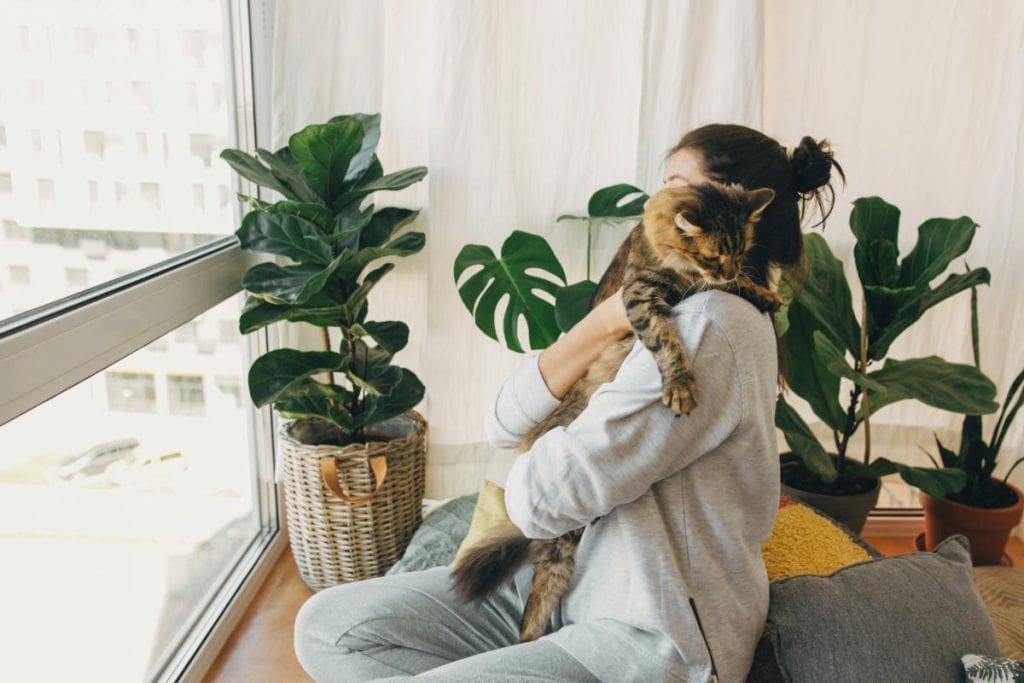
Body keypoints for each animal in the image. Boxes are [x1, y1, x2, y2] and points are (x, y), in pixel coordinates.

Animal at [452, 180, 778, 643]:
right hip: (562, 534)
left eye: (742, 250)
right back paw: (529, 632)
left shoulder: (696, 286)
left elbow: (726, 289)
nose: (729, 270)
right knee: (544, 580)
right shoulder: (641, 294)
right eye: (713, 256)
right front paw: (680, 384)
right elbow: (667, 339)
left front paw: (761, 291)